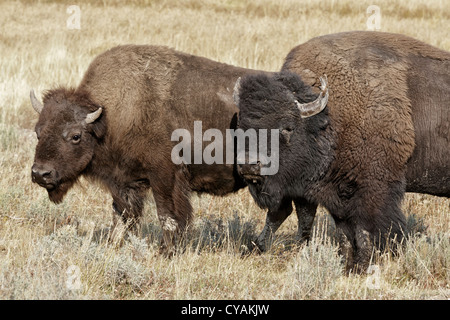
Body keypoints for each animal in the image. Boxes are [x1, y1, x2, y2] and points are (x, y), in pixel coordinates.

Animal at [30, 45, 278, 255]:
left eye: (75, 135)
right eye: (38, 132)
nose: (40, 174)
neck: (111, 117)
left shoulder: (164, 177)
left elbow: (167, 215)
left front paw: (166, 251)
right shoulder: (124, 182)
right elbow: (121, 215)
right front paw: (113, 244)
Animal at [234, 31, 448, 272]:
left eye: (287, 127)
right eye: (241, 126)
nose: (249, 165)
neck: (329, 117)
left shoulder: (372, 189)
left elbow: (365, 230)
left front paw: (363, 265)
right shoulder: (338, 194)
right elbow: (345, 232)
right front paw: (347, 264)